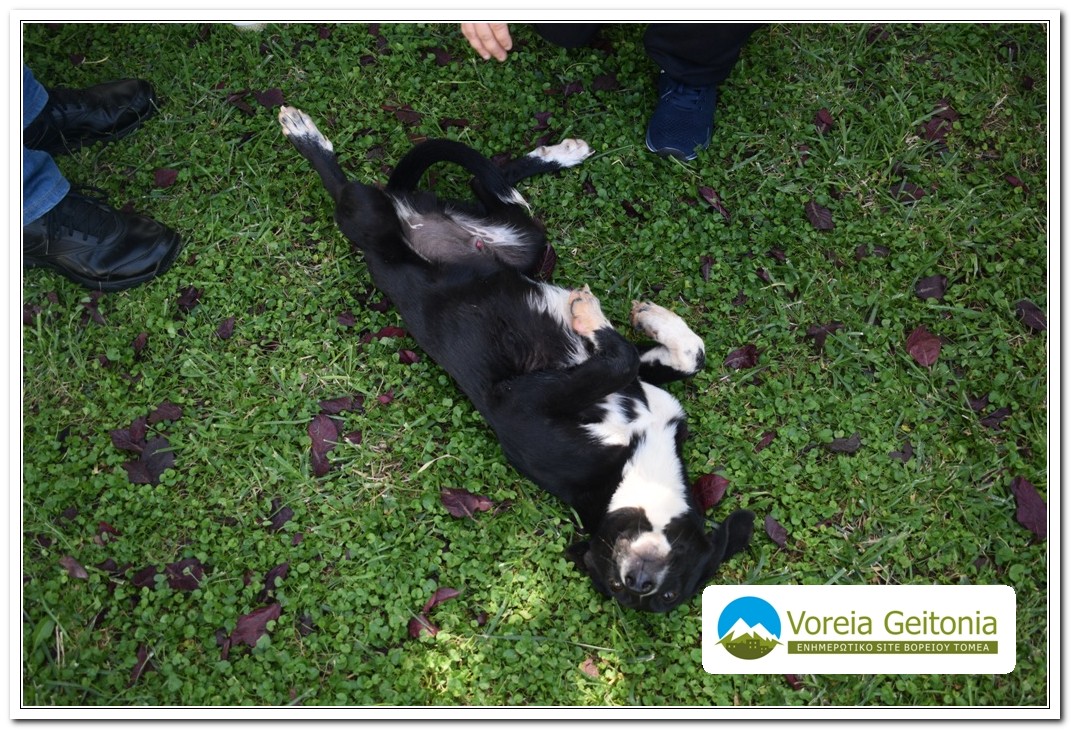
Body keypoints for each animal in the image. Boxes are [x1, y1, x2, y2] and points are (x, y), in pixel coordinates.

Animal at [279, 106, 754, 612]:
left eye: (667, 593)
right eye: (624, 583)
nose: (637, 582)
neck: (630, 464)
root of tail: (411, 213)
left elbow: (657, 355)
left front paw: (634, 316)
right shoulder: (526, 400)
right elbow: (659, 355)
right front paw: (630, 315)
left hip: (519, 238)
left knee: (489, 188)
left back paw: (558, 154)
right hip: (399, 223)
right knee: (351, 187)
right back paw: (306, 133)